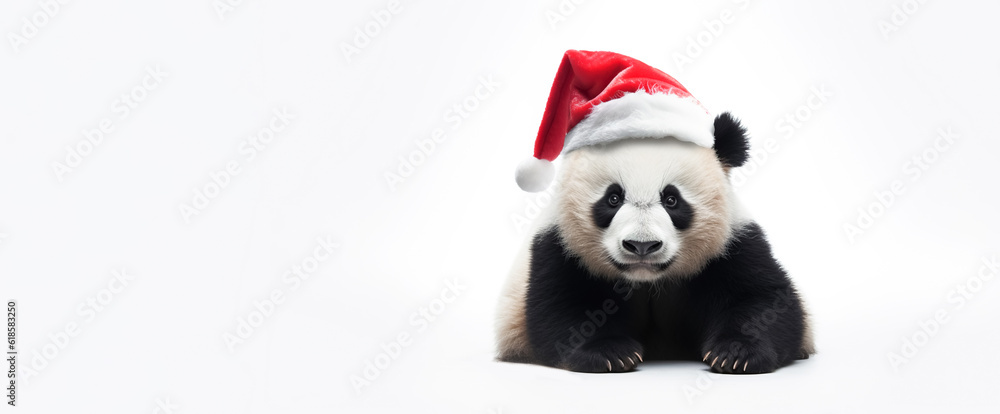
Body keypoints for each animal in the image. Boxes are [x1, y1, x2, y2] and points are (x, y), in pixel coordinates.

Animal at [495, 50, 813, 374]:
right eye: (613, 198)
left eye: (672, 200)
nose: (642, 245)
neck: (647, 280)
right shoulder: (559, 245)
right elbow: (563, 305)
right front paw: (610, 353)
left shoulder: (733, 242)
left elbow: (762, 299)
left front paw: (736, 354)